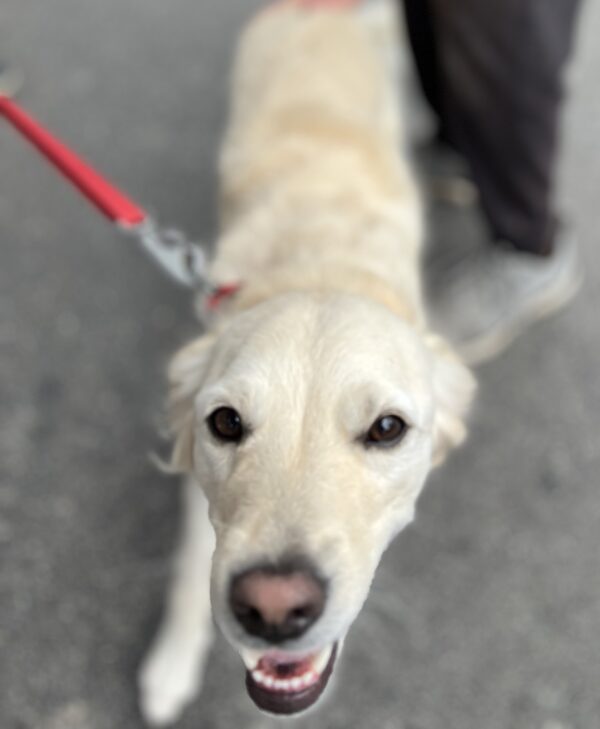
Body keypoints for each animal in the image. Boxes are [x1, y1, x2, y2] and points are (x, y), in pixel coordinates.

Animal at [138, 2, 476, 724]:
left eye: (387, 428)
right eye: (225, 422)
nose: (272, 608)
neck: (320, 258)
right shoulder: (197, 490)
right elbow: (187, 575)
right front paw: (170, 666)